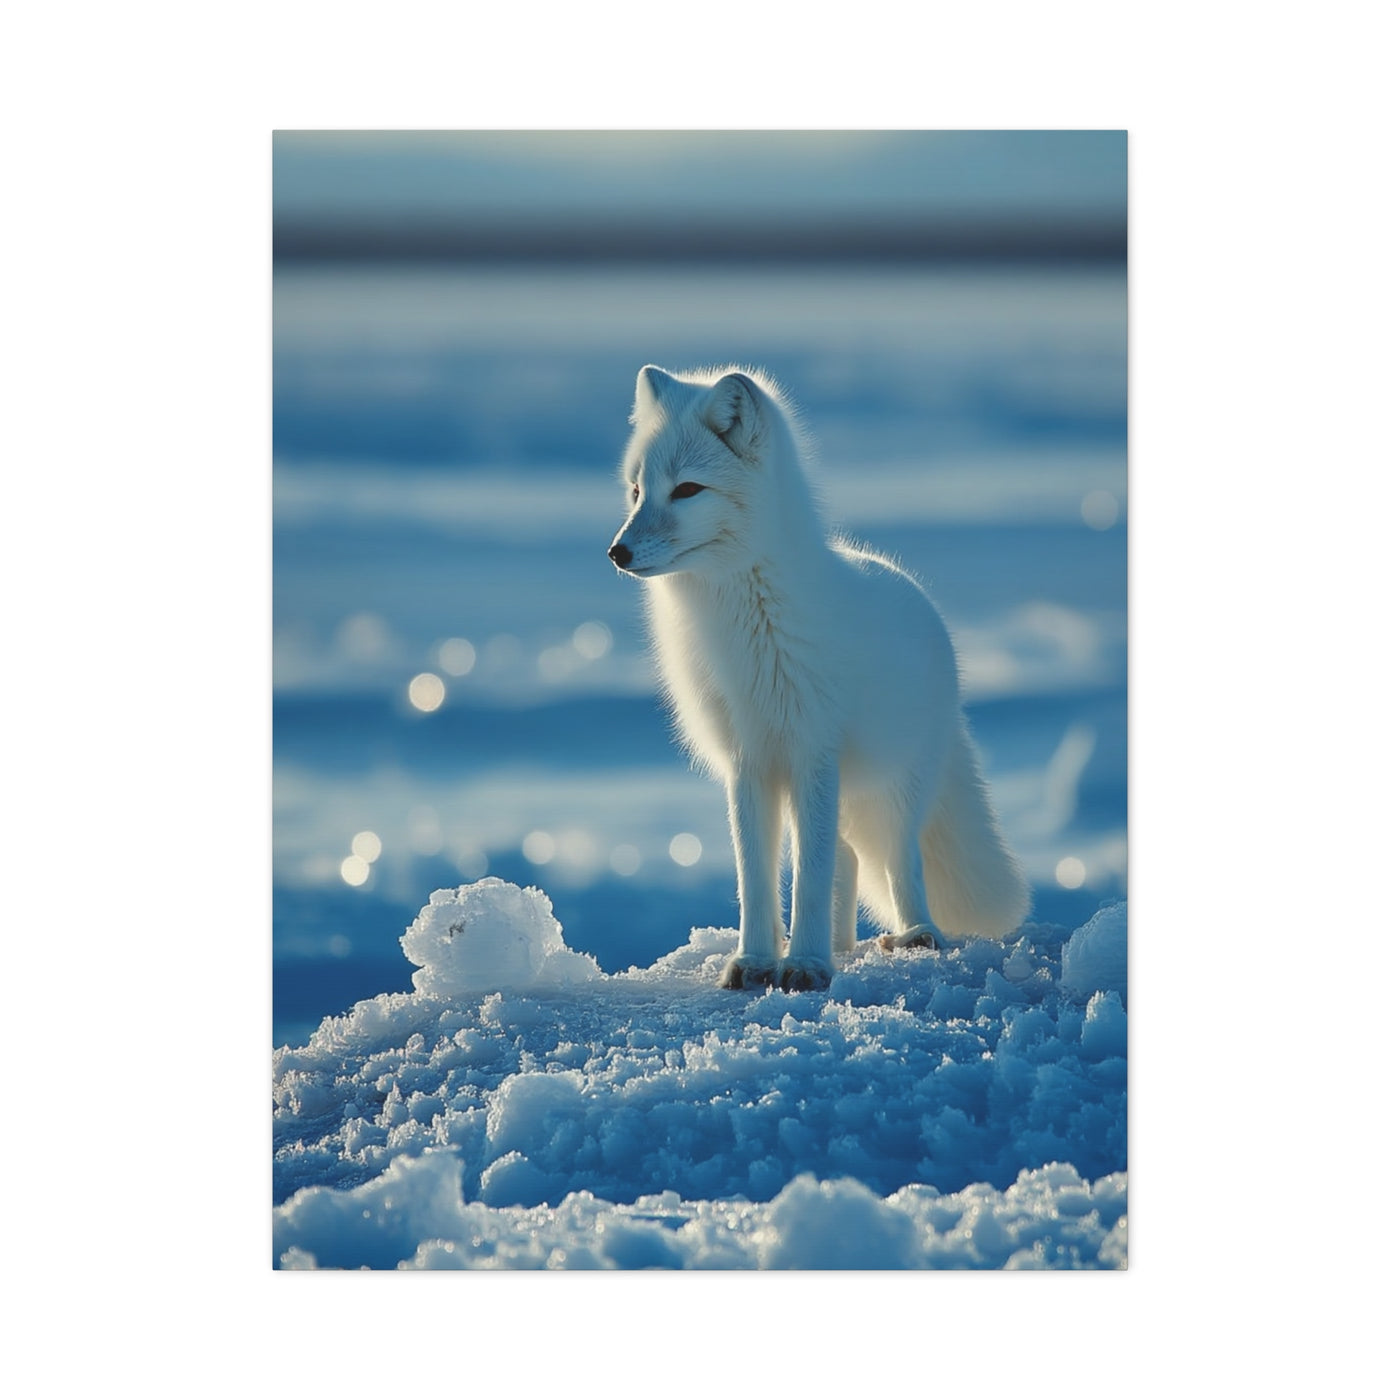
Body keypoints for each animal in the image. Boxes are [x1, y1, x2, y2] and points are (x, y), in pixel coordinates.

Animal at [607, 365, 1030, 992]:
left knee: (897, 861)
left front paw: (804, 965)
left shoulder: (813, 750)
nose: (618, 551)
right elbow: (756, 877)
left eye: (686, 490)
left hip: (895, 787)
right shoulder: (748, 761)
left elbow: (808, 874)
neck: (746, 620)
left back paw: (914, 934)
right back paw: (842, 946)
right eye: (636, 490)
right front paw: (758, 960)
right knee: (847, 859)